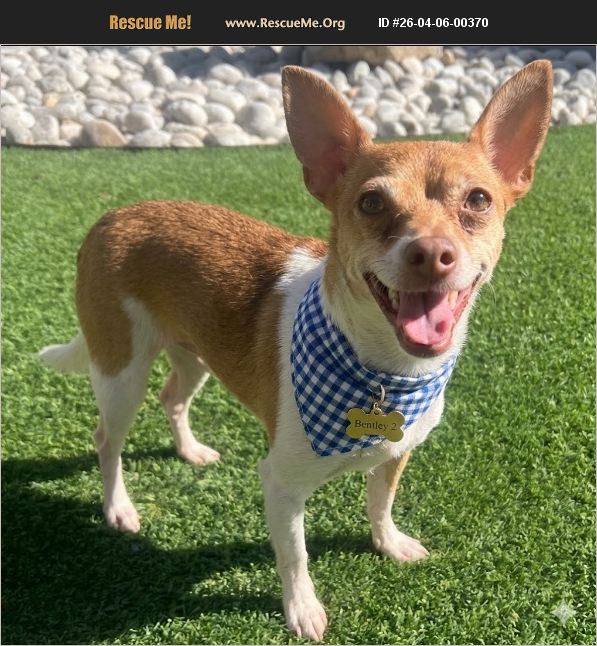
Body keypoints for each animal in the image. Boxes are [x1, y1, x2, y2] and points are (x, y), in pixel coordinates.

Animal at [39, 61, 553, 640]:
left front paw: (388, 543)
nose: (430, 253)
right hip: (120, 371)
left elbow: (380, 500)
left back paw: (190, 451)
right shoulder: (281, 484)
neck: (384, 372)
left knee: (172, 397)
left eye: (478, 200)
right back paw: (119, 508)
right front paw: (301, 609)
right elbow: (295, 554)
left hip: (195, 354)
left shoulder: (397, 450)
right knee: (107, 440)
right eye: (371, 203)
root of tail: (112, 218)